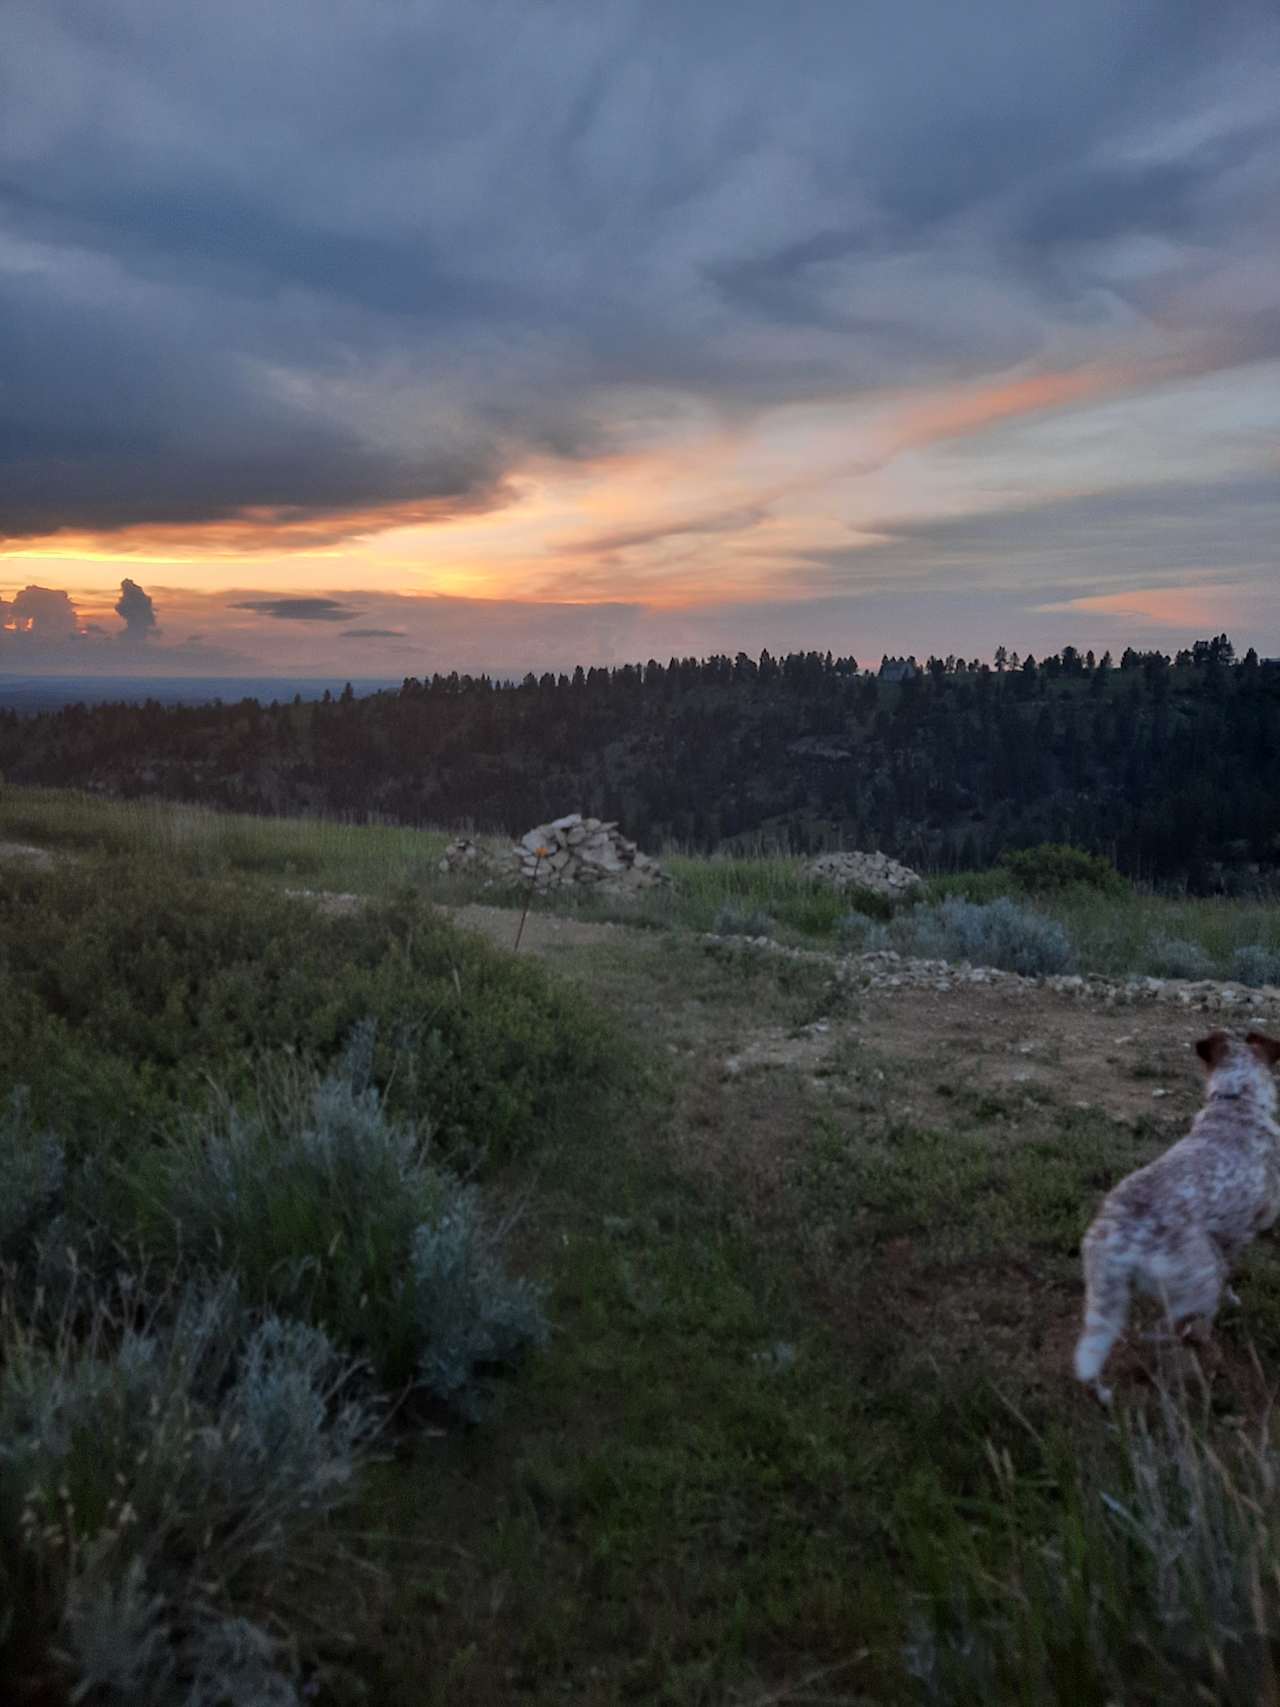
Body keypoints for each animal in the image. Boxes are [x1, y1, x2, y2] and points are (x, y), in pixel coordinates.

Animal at [1078, 1024, 1280, 1399]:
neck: (1237, 1102)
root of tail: (1118, 1229)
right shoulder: (1248, 1229)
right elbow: (1233, 1273)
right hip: (1198, 1280)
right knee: (1175, 1328)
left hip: (1106, 1295)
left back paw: (1104, 1394)